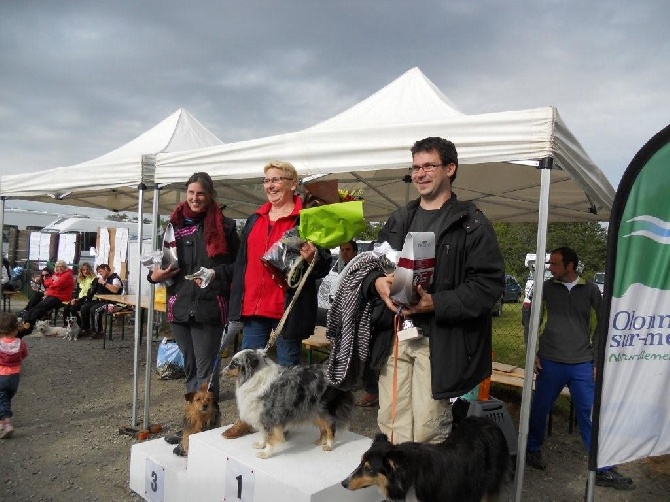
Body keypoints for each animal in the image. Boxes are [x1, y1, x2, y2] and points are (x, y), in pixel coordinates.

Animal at [222, 350, 356, 458]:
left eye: (233, 364)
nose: (221, 372)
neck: (254, 377)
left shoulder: (270, 415)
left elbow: (269, 436)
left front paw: (265, 453)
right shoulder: (261, 415)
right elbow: (263, 433)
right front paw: (260, 445)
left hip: (324, 410)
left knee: (330, 427)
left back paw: (329, 445)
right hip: (314, 411)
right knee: (324, 428)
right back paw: (320, 441)